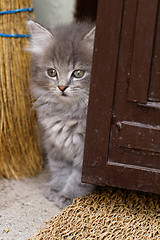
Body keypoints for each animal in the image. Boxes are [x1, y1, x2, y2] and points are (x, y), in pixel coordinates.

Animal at [27, 20, 95, 208]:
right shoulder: (53, 143)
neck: (67, 112)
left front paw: (69, 196)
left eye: (78, 73)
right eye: (52, 72)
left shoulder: (86, 153)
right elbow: (60, 169)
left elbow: (78, 178)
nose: (62, 87)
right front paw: (56, 189)